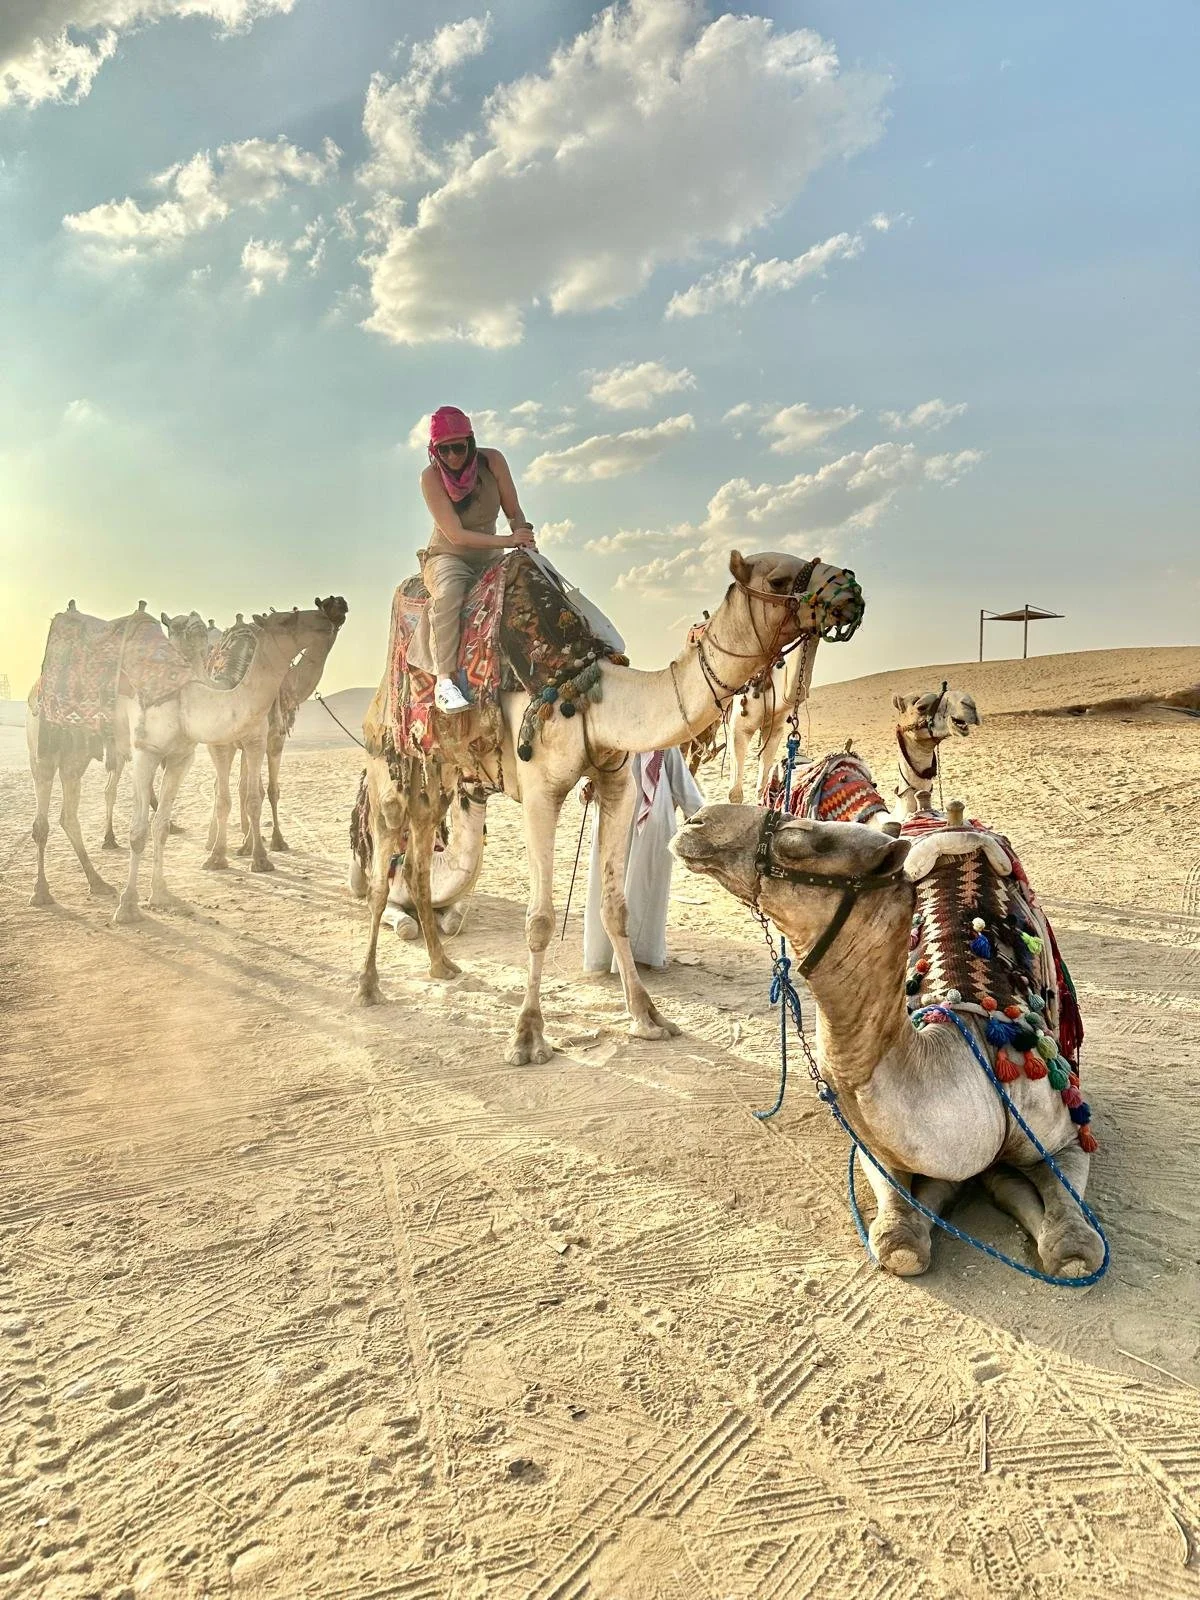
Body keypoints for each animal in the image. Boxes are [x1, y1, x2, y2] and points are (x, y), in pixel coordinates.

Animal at [200, 601, 348, 872]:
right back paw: (221, 840)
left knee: (260, 789)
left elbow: (258, 795)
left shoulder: (262, 741)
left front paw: (260, 856)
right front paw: (217, 856)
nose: (334, 606)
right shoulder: (219, 744)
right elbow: (224, 798)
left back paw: (264, 841)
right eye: (285, 620)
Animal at [357, 550, 864, 1068]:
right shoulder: (539, 792)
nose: (850, 591)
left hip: (436, 780)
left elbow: (617, 907)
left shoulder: (617, 783)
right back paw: (368, 986)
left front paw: (648, 1017)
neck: (589, 697)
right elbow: (540, 920)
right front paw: (527, 1036)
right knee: (381, 875)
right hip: (387, 771)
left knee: (417, 868)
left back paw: (442, 965)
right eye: (778, 579)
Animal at [673, 805, 1105, 1279]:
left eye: (801, 837)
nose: (697, 820)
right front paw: (924, 1215)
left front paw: (1064, 1240)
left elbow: (1074, 1239)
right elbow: (901, 1241)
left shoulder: (1064, 1134)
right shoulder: (879, 1149)